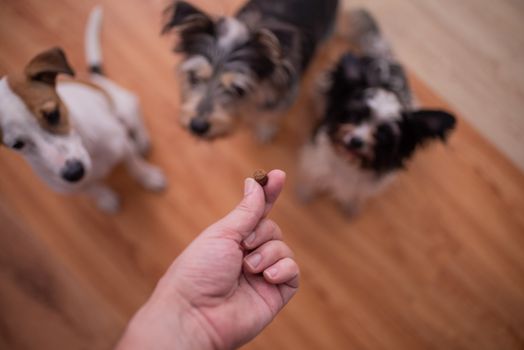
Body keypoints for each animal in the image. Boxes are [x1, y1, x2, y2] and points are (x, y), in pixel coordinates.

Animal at [0, 6, 166, 212]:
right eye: (17, 144)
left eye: (53, 115)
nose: (74, 173)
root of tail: (96, 81)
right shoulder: (70, 186)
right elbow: (91, 190)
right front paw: (104, 198)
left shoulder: (123, 145)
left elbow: (135, 165)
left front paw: (148, 177)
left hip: (125, 107)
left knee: (136, 116)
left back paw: (142, 141)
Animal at [162, 0, 338, 141]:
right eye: (193, 77)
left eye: (238, 90)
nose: (197, 127)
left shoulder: (284, 97)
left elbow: (270, 116)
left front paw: (264, 132)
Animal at [298, 8, 458, 215]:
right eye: (355, 115)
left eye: (383, 135)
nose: (356, 141)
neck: (350, 163)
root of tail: (385, 57)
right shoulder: (317, 160)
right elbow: (312, 177)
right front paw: (305, 193)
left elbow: (356, 195)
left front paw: (352, 208)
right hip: (322, 87)